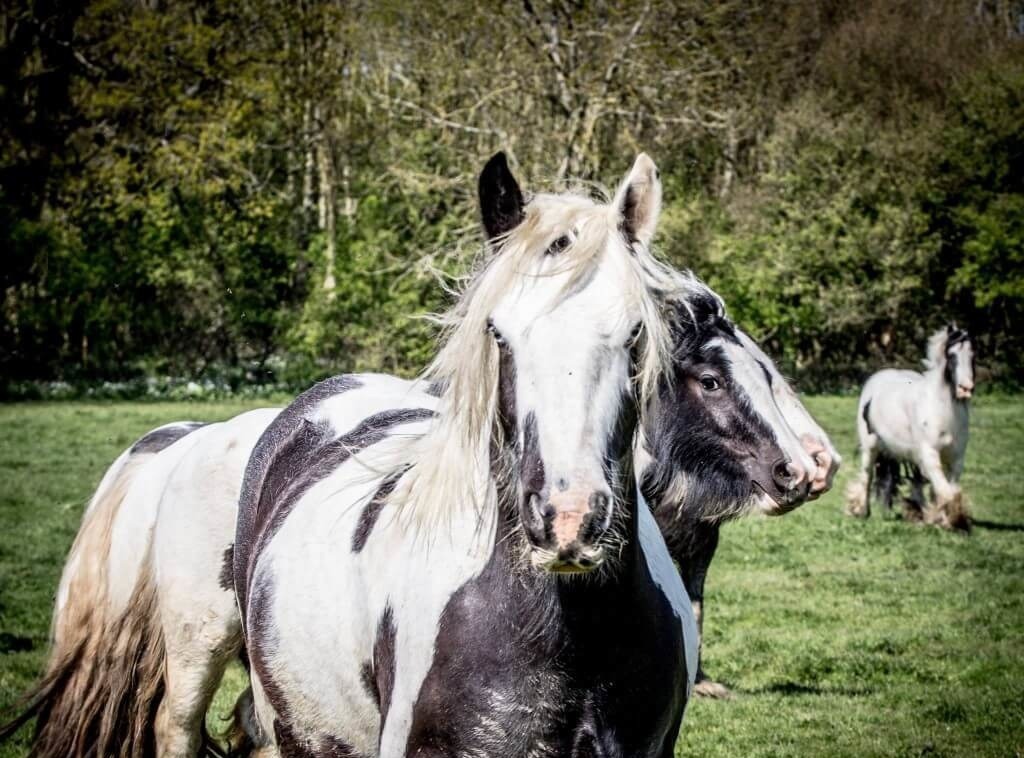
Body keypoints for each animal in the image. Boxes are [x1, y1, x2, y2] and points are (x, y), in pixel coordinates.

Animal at [843, 323, 978, 528]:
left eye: (972, 355)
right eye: (952, 355)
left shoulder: (956, 459)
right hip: (871, 447)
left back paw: (917, 512)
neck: (942, 410)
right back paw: (862, 511)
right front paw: (951, 519)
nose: (965, 388)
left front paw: (944, 520)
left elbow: (949, 489)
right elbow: (944, 490)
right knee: (867, 476)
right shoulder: (929, 454)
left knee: (916, 482)